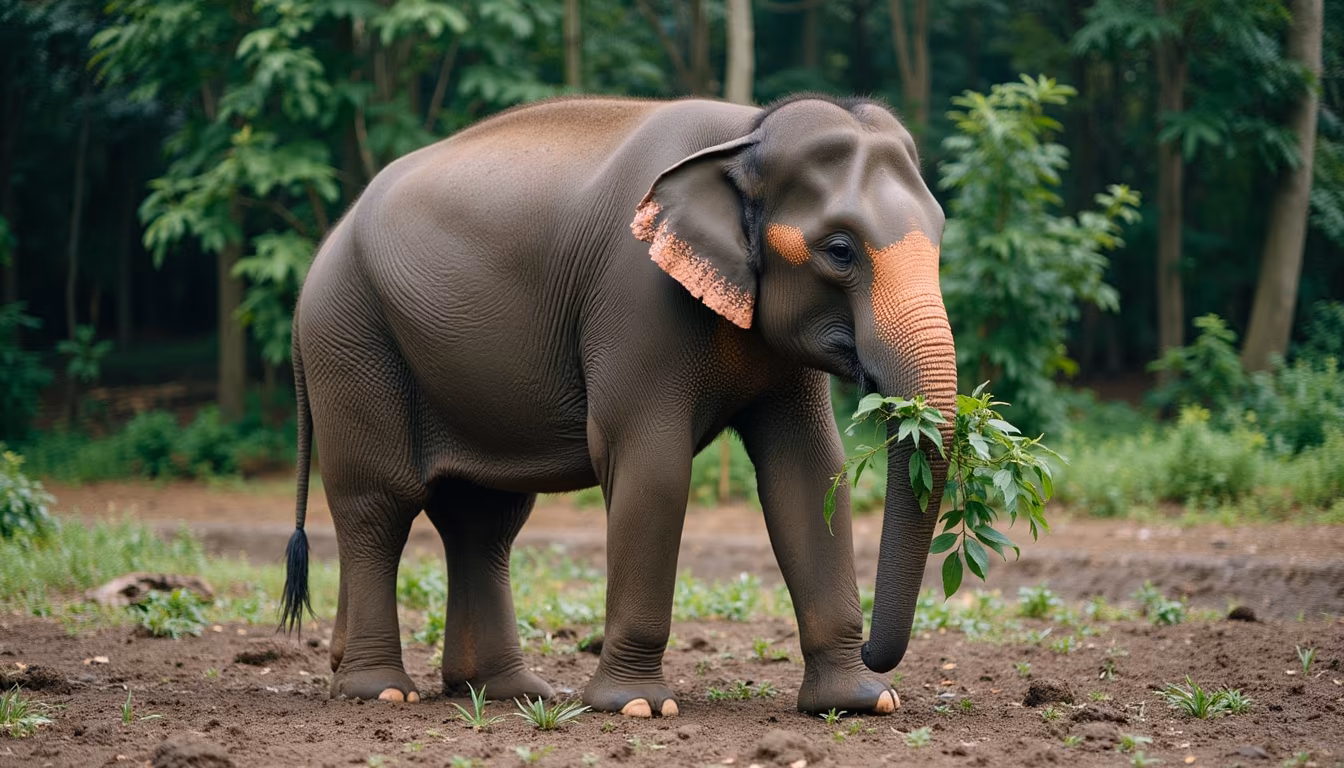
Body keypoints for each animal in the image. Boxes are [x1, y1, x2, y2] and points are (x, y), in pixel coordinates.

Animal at [279, 93, 956, 719]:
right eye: (840, 250)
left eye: (940, 237)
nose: (875, 651)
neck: (748, 130)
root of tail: (318, 259)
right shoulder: (635, 296)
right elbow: (653, 469)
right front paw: (638, 707)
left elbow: (808, 472)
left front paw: (863, 702)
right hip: (352, 339)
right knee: (379, 503)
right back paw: (383, 691)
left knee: (482, 518)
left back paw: (503, 691)